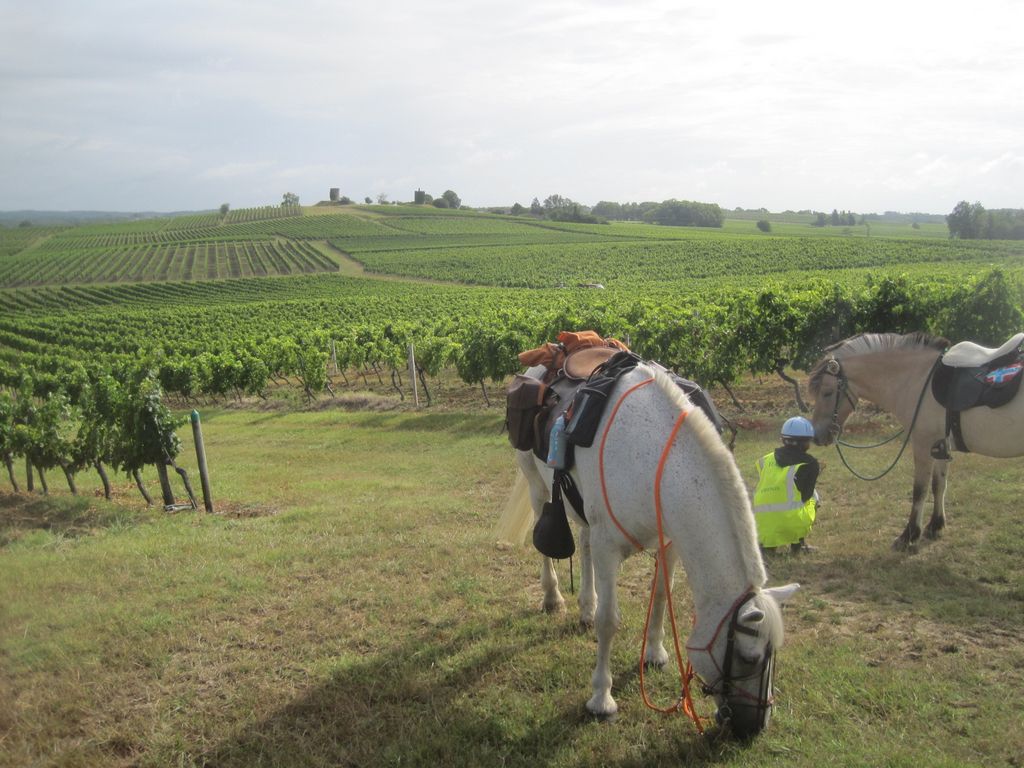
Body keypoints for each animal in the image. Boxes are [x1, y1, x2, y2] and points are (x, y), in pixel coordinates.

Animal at [500, 362, 800, 738]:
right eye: (749, 657)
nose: (757, 726)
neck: (654, 459)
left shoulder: (668, 543)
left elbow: (660, 595)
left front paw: (655, 653)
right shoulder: (609, 547)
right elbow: (609, 621)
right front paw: (601, 699)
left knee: (584, 542)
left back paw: (585, 607)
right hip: (537, 485)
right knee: (546, 540)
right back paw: (554, 598)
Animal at [807, 331, 1024, 550]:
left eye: (827, 392)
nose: (817, 435)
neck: (919, 379)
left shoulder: (922, 444)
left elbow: (920, 491)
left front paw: (909, 535)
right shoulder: (940, 446)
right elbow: (939, 486)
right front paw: (935, 526)